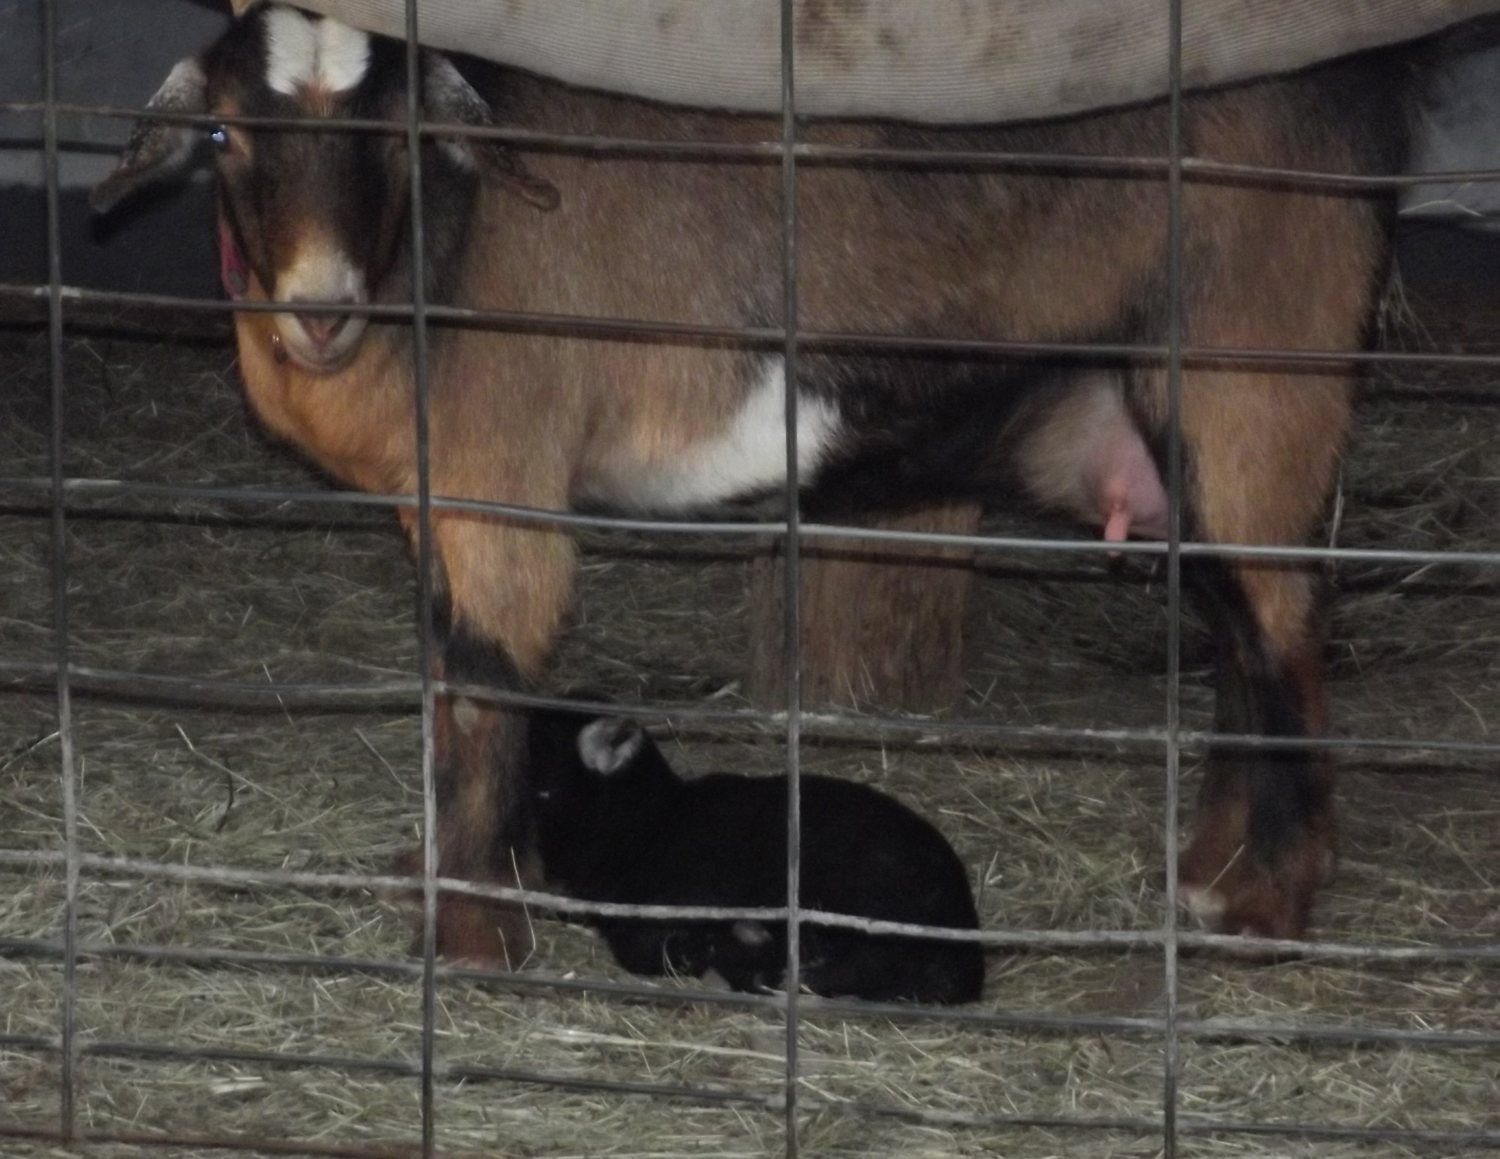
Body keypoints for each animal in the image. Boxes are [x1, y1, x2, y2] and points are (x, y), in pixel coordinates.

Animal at [95, 3, 1414, 961]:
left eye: (399, 135)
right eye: (226, 135)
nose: (319, 310)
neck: (440, 249)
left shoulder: (501, 486)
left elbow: (482, 690)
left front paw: (470, 936)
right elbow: (447, 689)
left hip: (1256, 377)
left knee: (1283, 632)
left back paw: (1262, 911)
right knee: (1244, 628)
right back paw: (1210, 873)